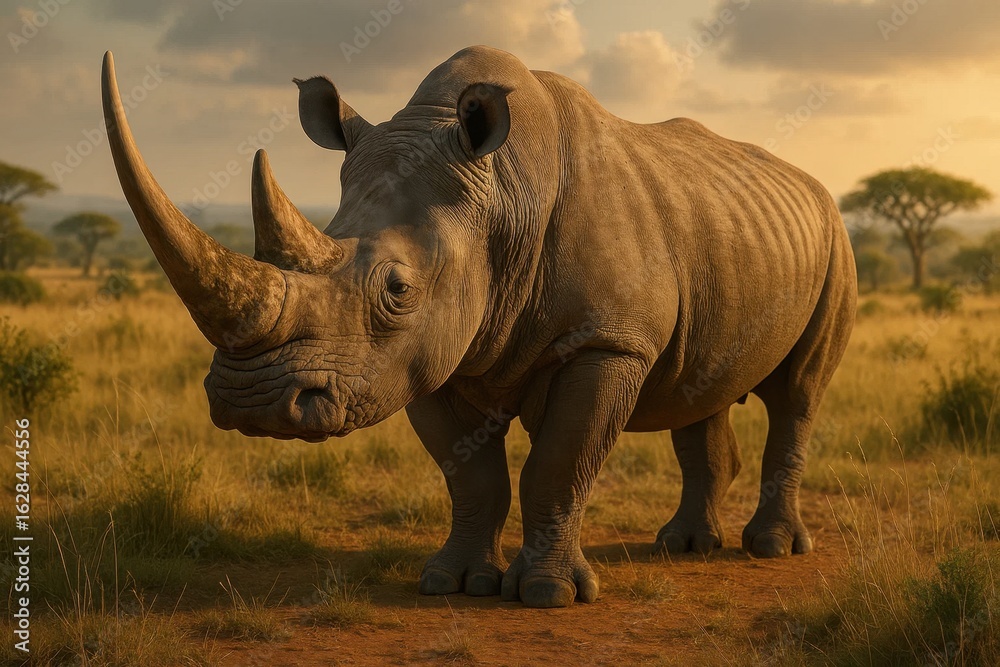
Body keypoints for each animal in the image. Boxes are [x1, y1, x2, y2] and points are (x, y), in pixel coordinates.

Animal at [101, 45, 856, 608]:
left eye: (397, 290)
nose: (251, 403)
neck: (501, 196)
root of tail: (816, 184)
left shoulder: (606, 340)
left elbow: (560, 462)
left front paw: (548, 596)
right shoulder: (430, 354)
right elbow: (472, 475)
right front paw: (453, 583)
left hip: (834, 239)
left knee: (798, 394)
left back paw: (770, 548)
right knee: (700, 393)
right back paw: (683, 545)